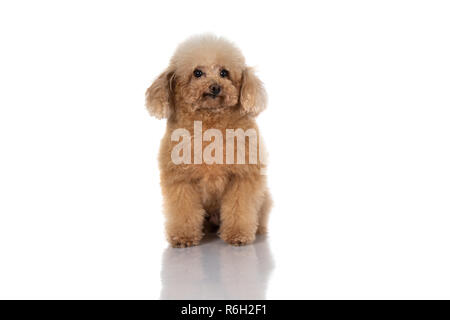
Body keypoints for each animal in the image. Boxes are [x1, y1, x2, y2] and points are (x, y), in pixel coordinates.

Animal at [146, 34, 270, 248]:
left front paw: (238, 235)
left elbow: (239, 208)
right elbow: (183, 210)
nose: (215, 87)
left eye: (224, 72)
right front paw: (184, 237)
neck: (210, 123)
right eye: (197, 73)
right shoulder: (181, 180)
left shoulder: (242, 177)